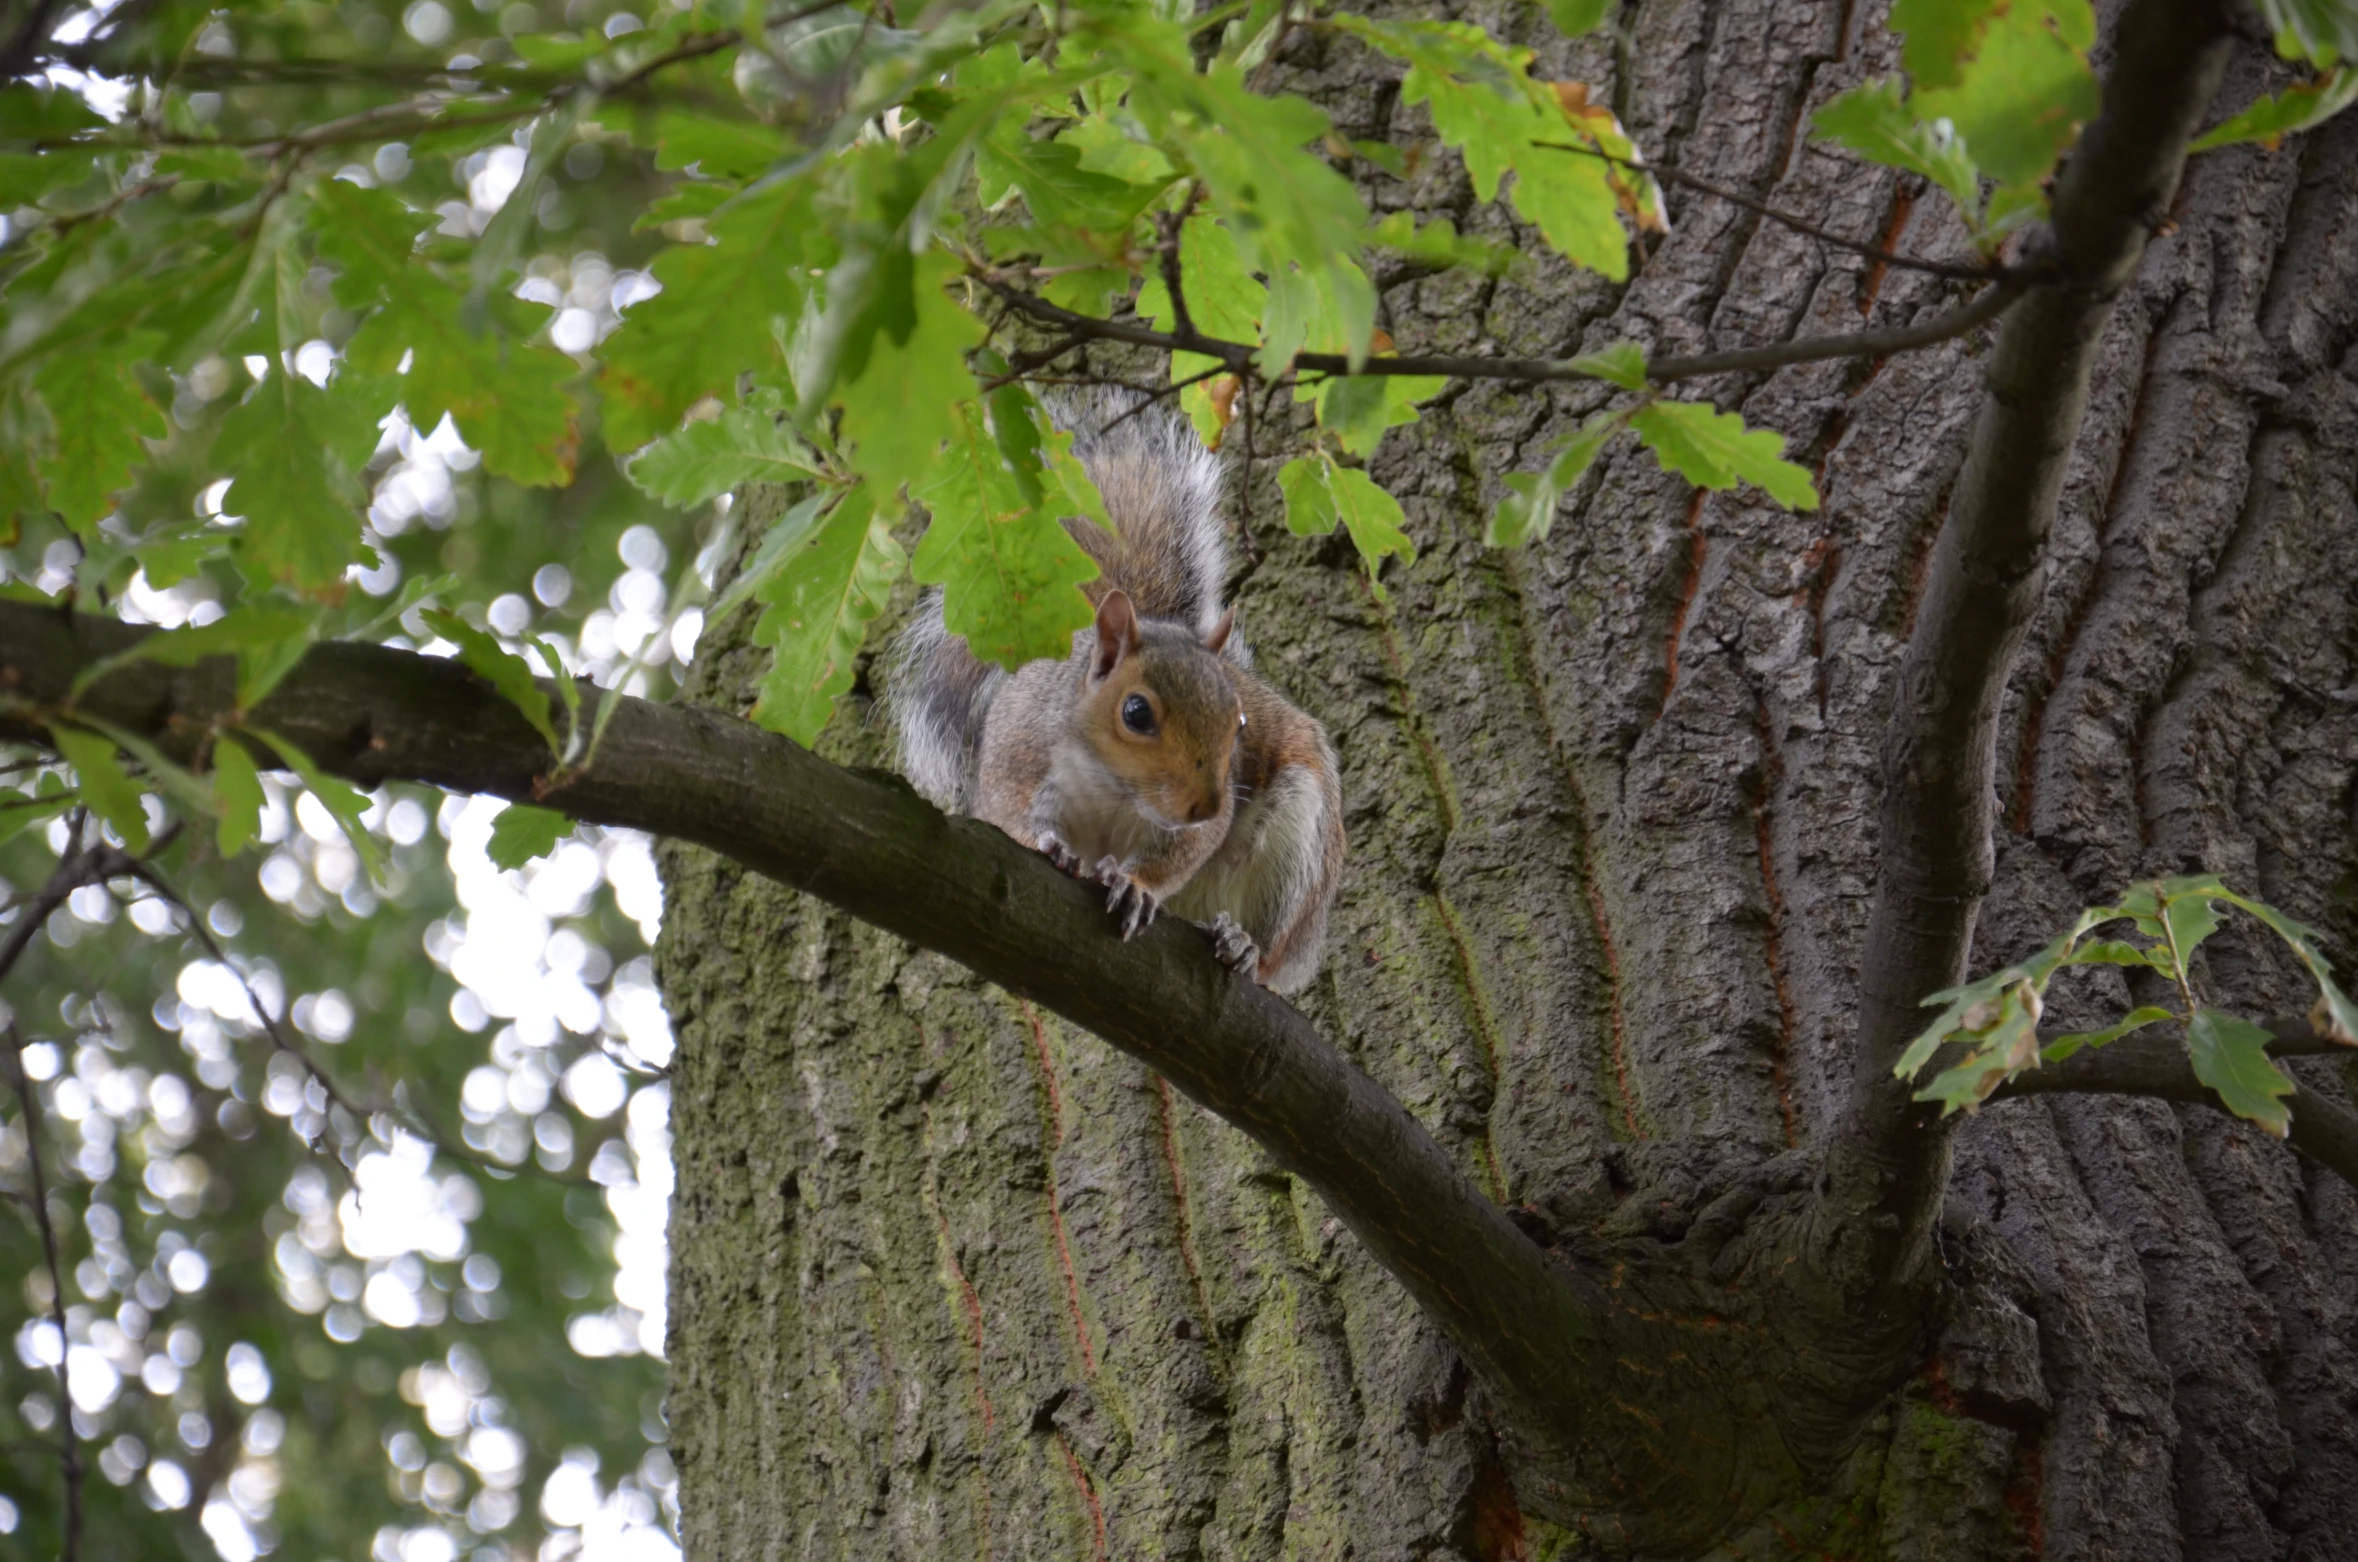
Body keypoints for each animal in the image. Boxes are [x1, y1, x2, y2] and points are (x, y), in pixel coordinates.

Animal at [886, 398, 1348, 995]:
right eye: (1136, 713)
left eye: (1240, 723)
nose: (1204, 803)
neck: (1114, 786)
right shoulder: (1019, 745)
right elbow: (1004, 809)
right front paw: (1045, 844)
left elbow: (1186, 848)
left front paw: (1138, 885)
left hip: (1299, 844)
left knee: (1276, 952)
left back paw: (1244, 948)